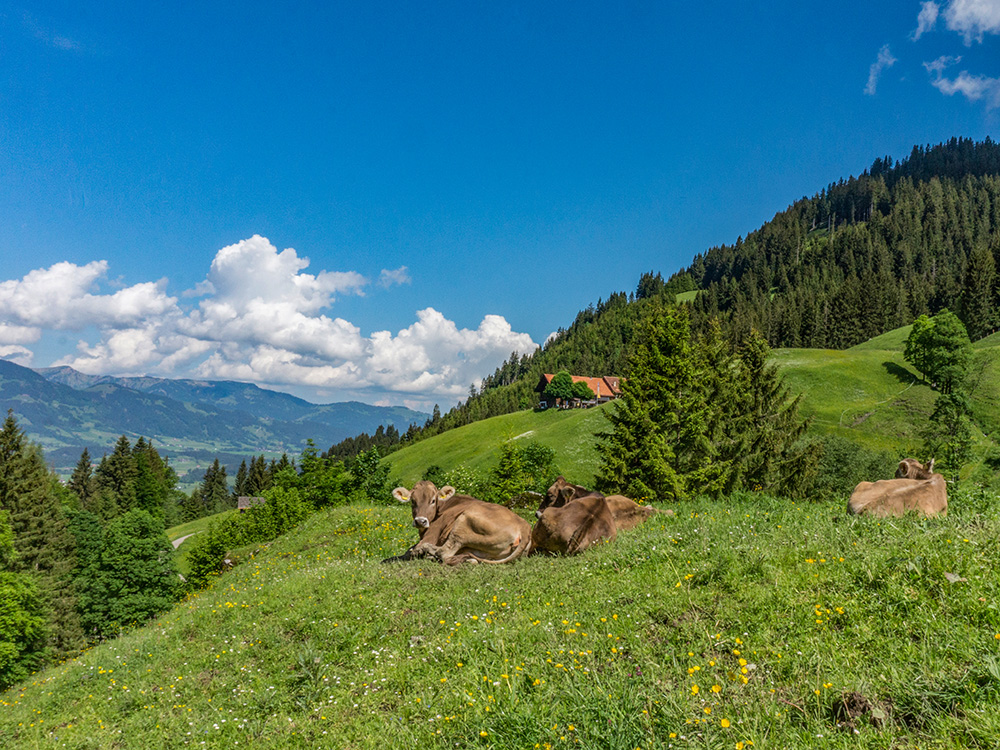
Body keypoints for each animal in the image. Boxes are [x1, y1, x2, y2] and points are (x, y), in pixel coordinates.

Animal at [384, 482, 540, 564]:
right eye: (412, 501)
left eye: (433, 500)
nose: (420, 521)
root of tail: (524, 526)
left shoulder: (431, 535)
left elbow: (408, 551)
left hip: (464, 522)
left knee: (444, 552)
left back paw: (427, 552)